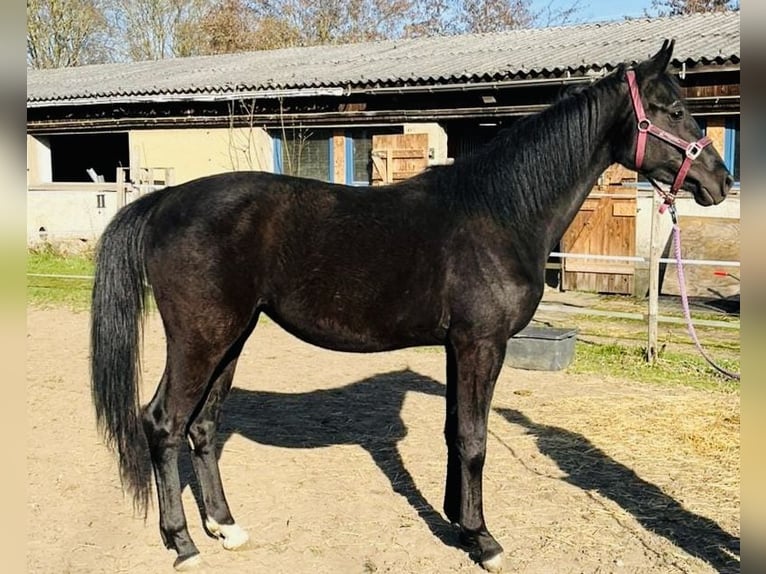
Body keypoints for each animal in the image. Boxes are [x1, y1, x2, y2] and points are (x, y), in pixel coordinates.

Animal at [90, 40, 732, 572]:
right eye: (672, 110)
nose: (720, 181)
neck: (499, 212)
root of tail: (167, 199)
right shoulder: (481, 344)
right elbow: (473, 439)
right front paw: (484, 540)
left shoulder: (459, 346)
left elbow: (454, 432)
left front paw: (457, 524)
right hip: (201, 338)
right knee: (164, 423)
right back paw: (183, 543)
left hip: (233, 336)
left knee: (203, 426)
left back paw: (224, 527)